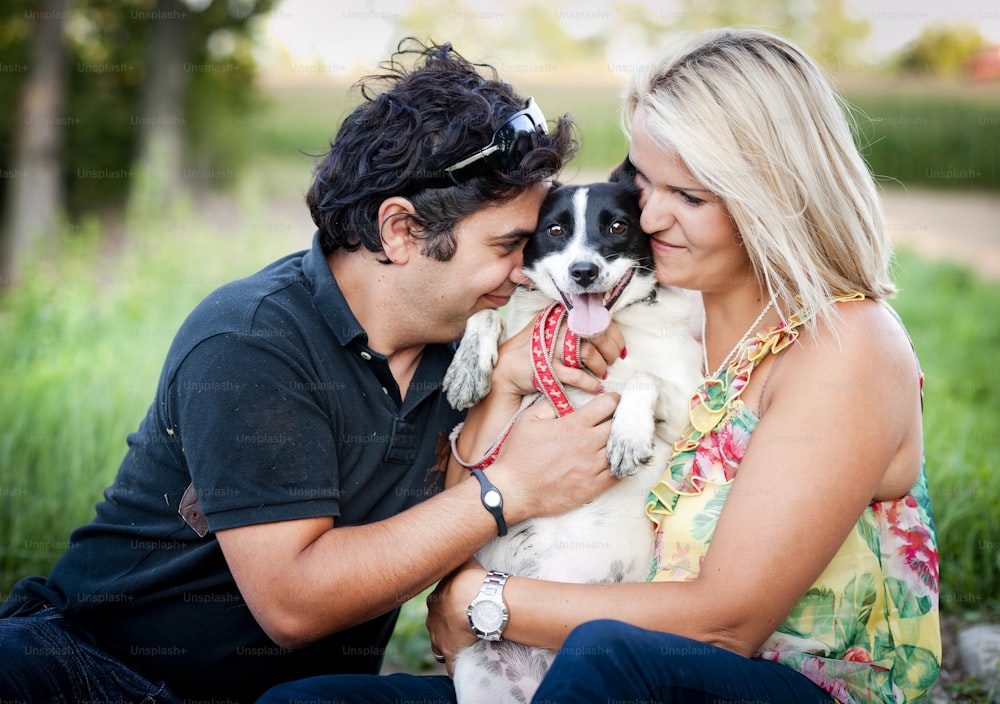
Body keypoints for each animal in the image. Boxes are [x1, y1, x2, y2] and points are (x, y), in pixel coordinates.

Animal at [446, 172, 704, 704]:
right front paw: (467, 368)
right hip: (479, 675)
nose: (583, 271)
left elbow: (642, 376)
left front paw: (627, 433)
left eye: (618, 226)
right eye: (556, 229)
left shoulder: (690, 399)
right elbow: (487, 317)